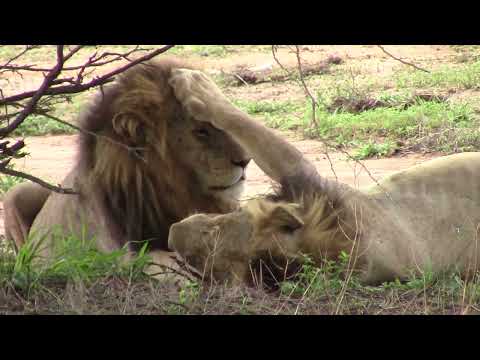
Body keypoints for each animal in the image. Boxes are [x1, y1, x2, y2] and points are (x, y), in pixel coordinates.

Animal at [166, 67, 480, 286]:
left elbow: (243, 123)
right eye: (202, 266)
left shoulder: (305, 175)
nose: (171, 234)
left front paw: (192, 82)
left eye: (213, 231)